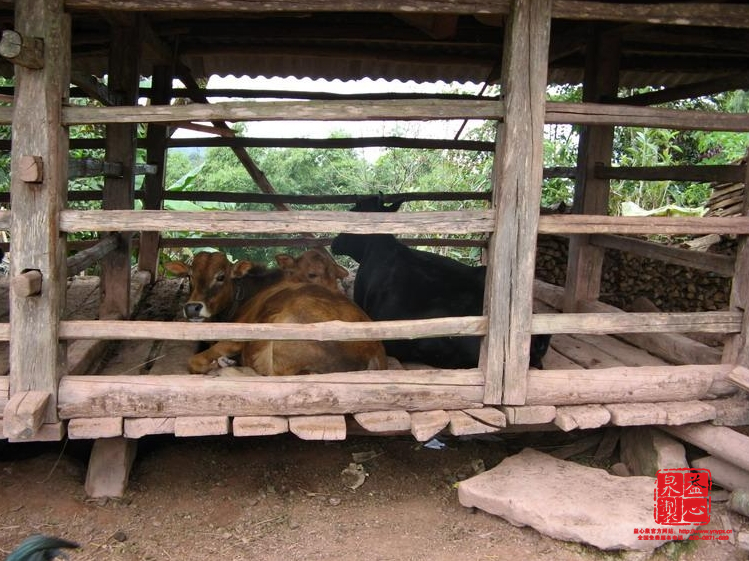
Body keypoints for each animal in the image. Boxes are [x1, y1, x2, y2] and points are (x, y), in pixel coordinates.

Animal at [164, 250, 386, 374]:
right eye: (189, 276)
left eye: (221, 276)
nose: (192, 307)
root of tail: (373, 356)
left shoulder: (236, 338)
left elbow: (194, 361)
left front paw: (219, 363)